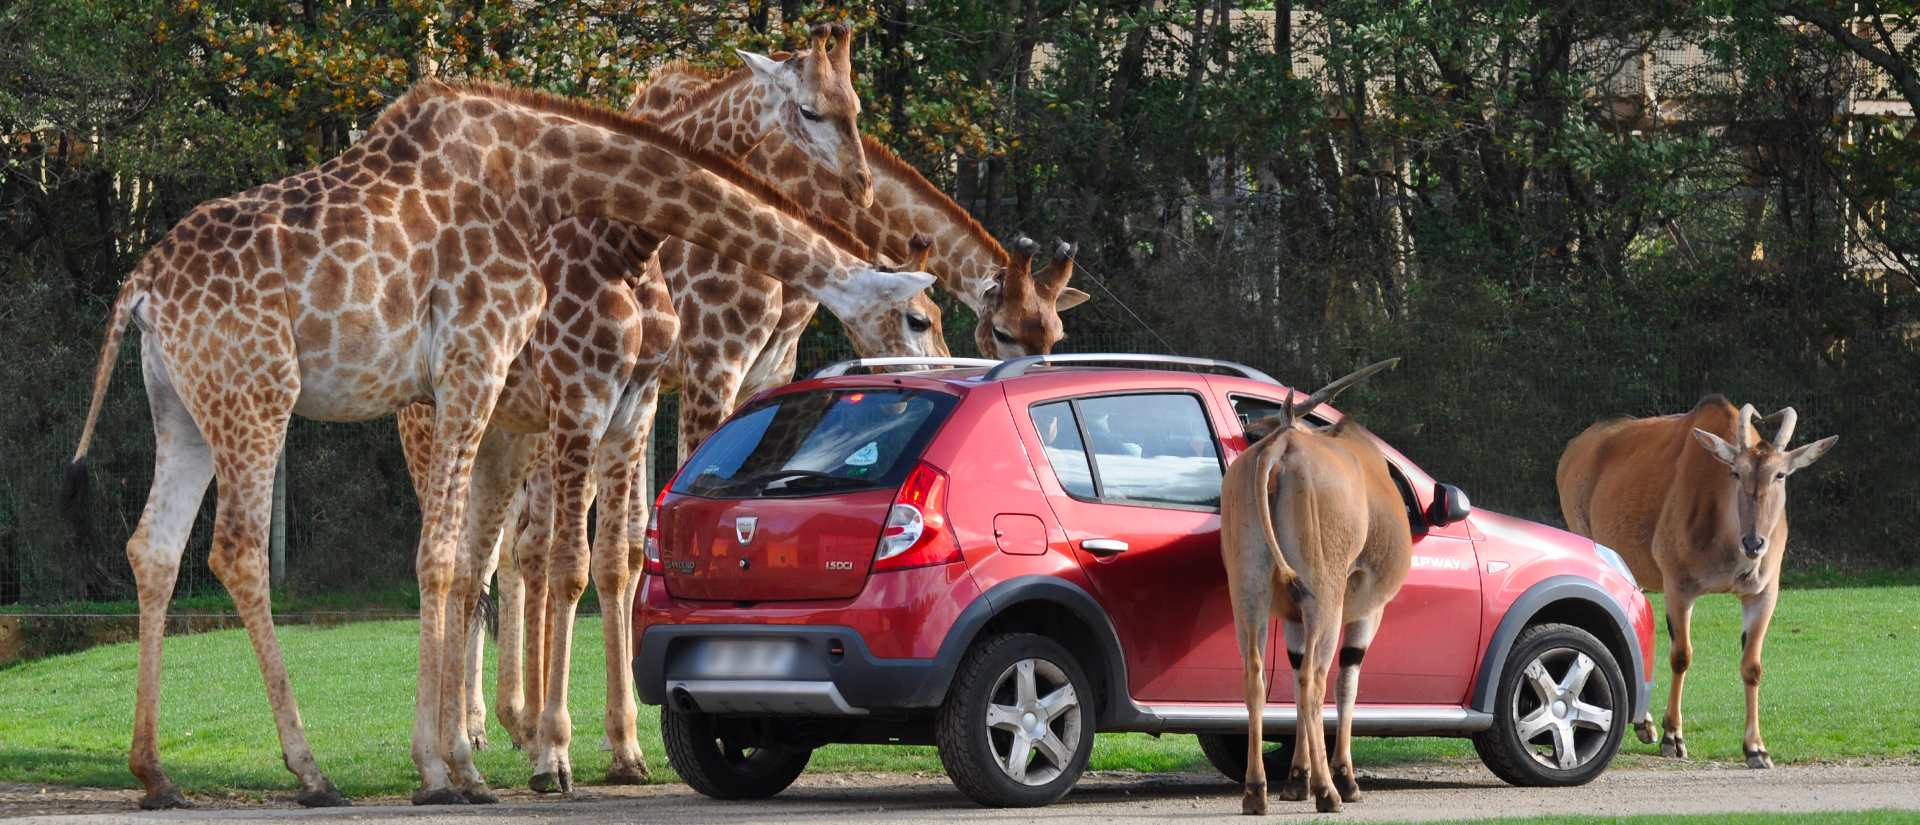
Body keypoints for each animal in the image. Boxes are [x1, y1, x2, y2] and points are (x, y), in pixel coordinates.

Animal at [69, 80, 944, 809]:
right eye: (918, 316)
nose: (862, 184)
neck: (544, 179)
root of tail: (140, 289)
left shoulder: (535, 396)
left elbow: (484, 561)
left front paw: (470, 761)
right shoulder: (485, 365)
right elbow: (463, 559)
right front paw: (462, 767)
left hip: (184, 406)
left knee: (154, 545)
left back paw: (156, 774)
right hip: (260, 393)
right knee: (240, 548)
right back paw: (313, 770)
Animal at [1228, 360, 1413, 813]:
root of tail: (1280, 451)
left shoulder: (1293, 618)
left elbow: (1292, 676)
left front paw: (1296, 779)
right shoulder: (1368, 611)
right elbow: (1347, 680)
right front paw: (1341, 778)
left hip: (1248, 595)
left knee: (1255, 675)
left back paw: (1255, 791)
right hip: (1325, 600)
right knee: (1315, 678)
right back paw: (1329, 791)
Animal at [1551, 397, 1835, 771]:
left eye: (1780, 474)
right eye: (1736, 472)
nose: (1754, 543)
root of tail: (1576, 447)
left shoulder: (1762, 595)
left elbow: (1752, 667)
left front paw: (1756, 748)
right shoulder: (1679, 587)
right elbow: (1681, 655)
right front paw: (1674, 737)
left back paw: (1644, 724)